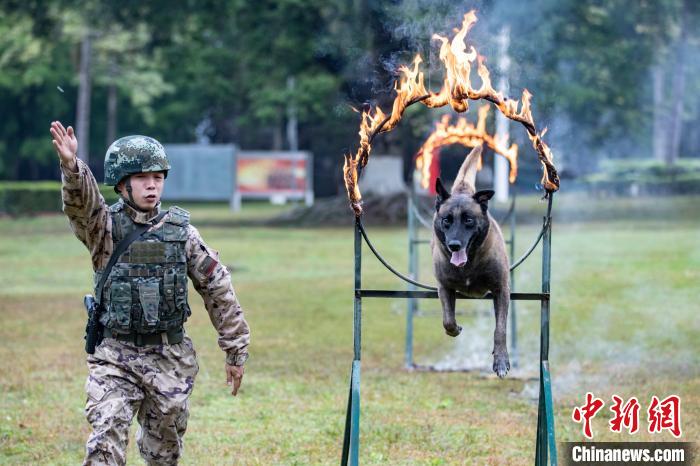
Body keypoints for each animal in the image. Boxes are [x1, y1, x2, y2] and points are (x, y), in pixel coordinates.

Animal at [430, 146, 512, 378]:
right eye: (446, 220)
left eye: (468, 220)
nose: (454, 245)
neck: (469, 265)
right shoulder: (444, 287)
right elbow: (448, 320)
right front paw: (455, 329)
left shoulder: (501, 289)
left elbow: (500, 329)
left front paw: (501, 361)